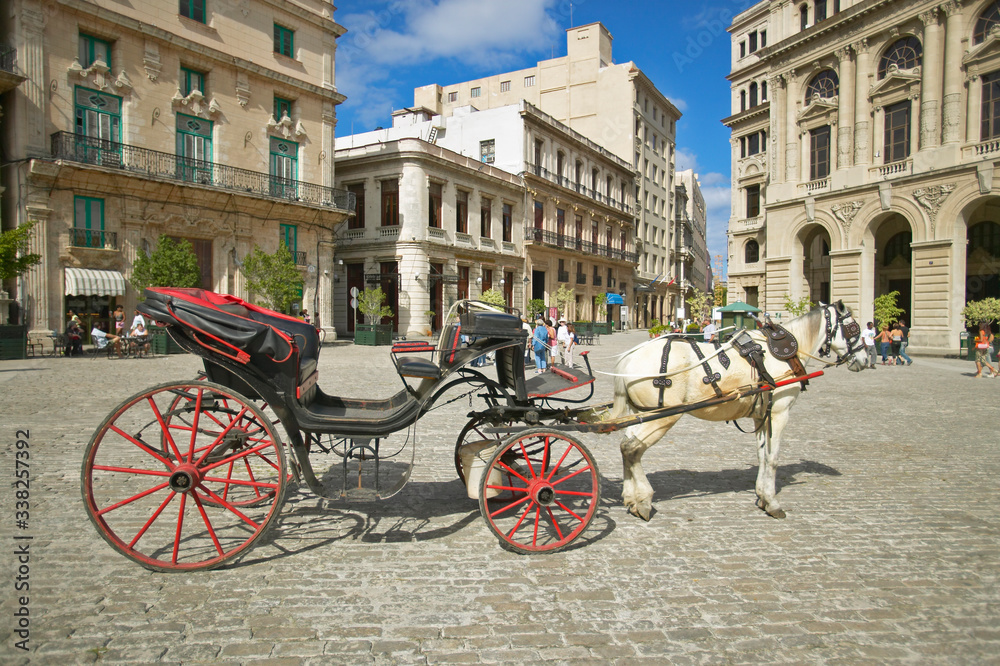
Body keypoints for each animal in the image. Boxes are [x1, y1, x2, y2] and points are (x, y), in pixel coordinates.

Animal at [608, 300, 868, 520]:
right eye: (854, 327)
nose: (867, 358)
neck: (784, 353)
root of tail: (629, 358)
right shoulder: (779, 413)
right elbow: (773, 458)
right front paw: (772, 502)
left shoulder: (761, 415)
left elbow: (762, 455)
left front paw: (762, 496)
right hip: (662, 417)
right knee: (632, 449)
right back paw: (644, 500)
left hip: (642, 415)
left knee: (626, 446)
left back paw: (630, 497)